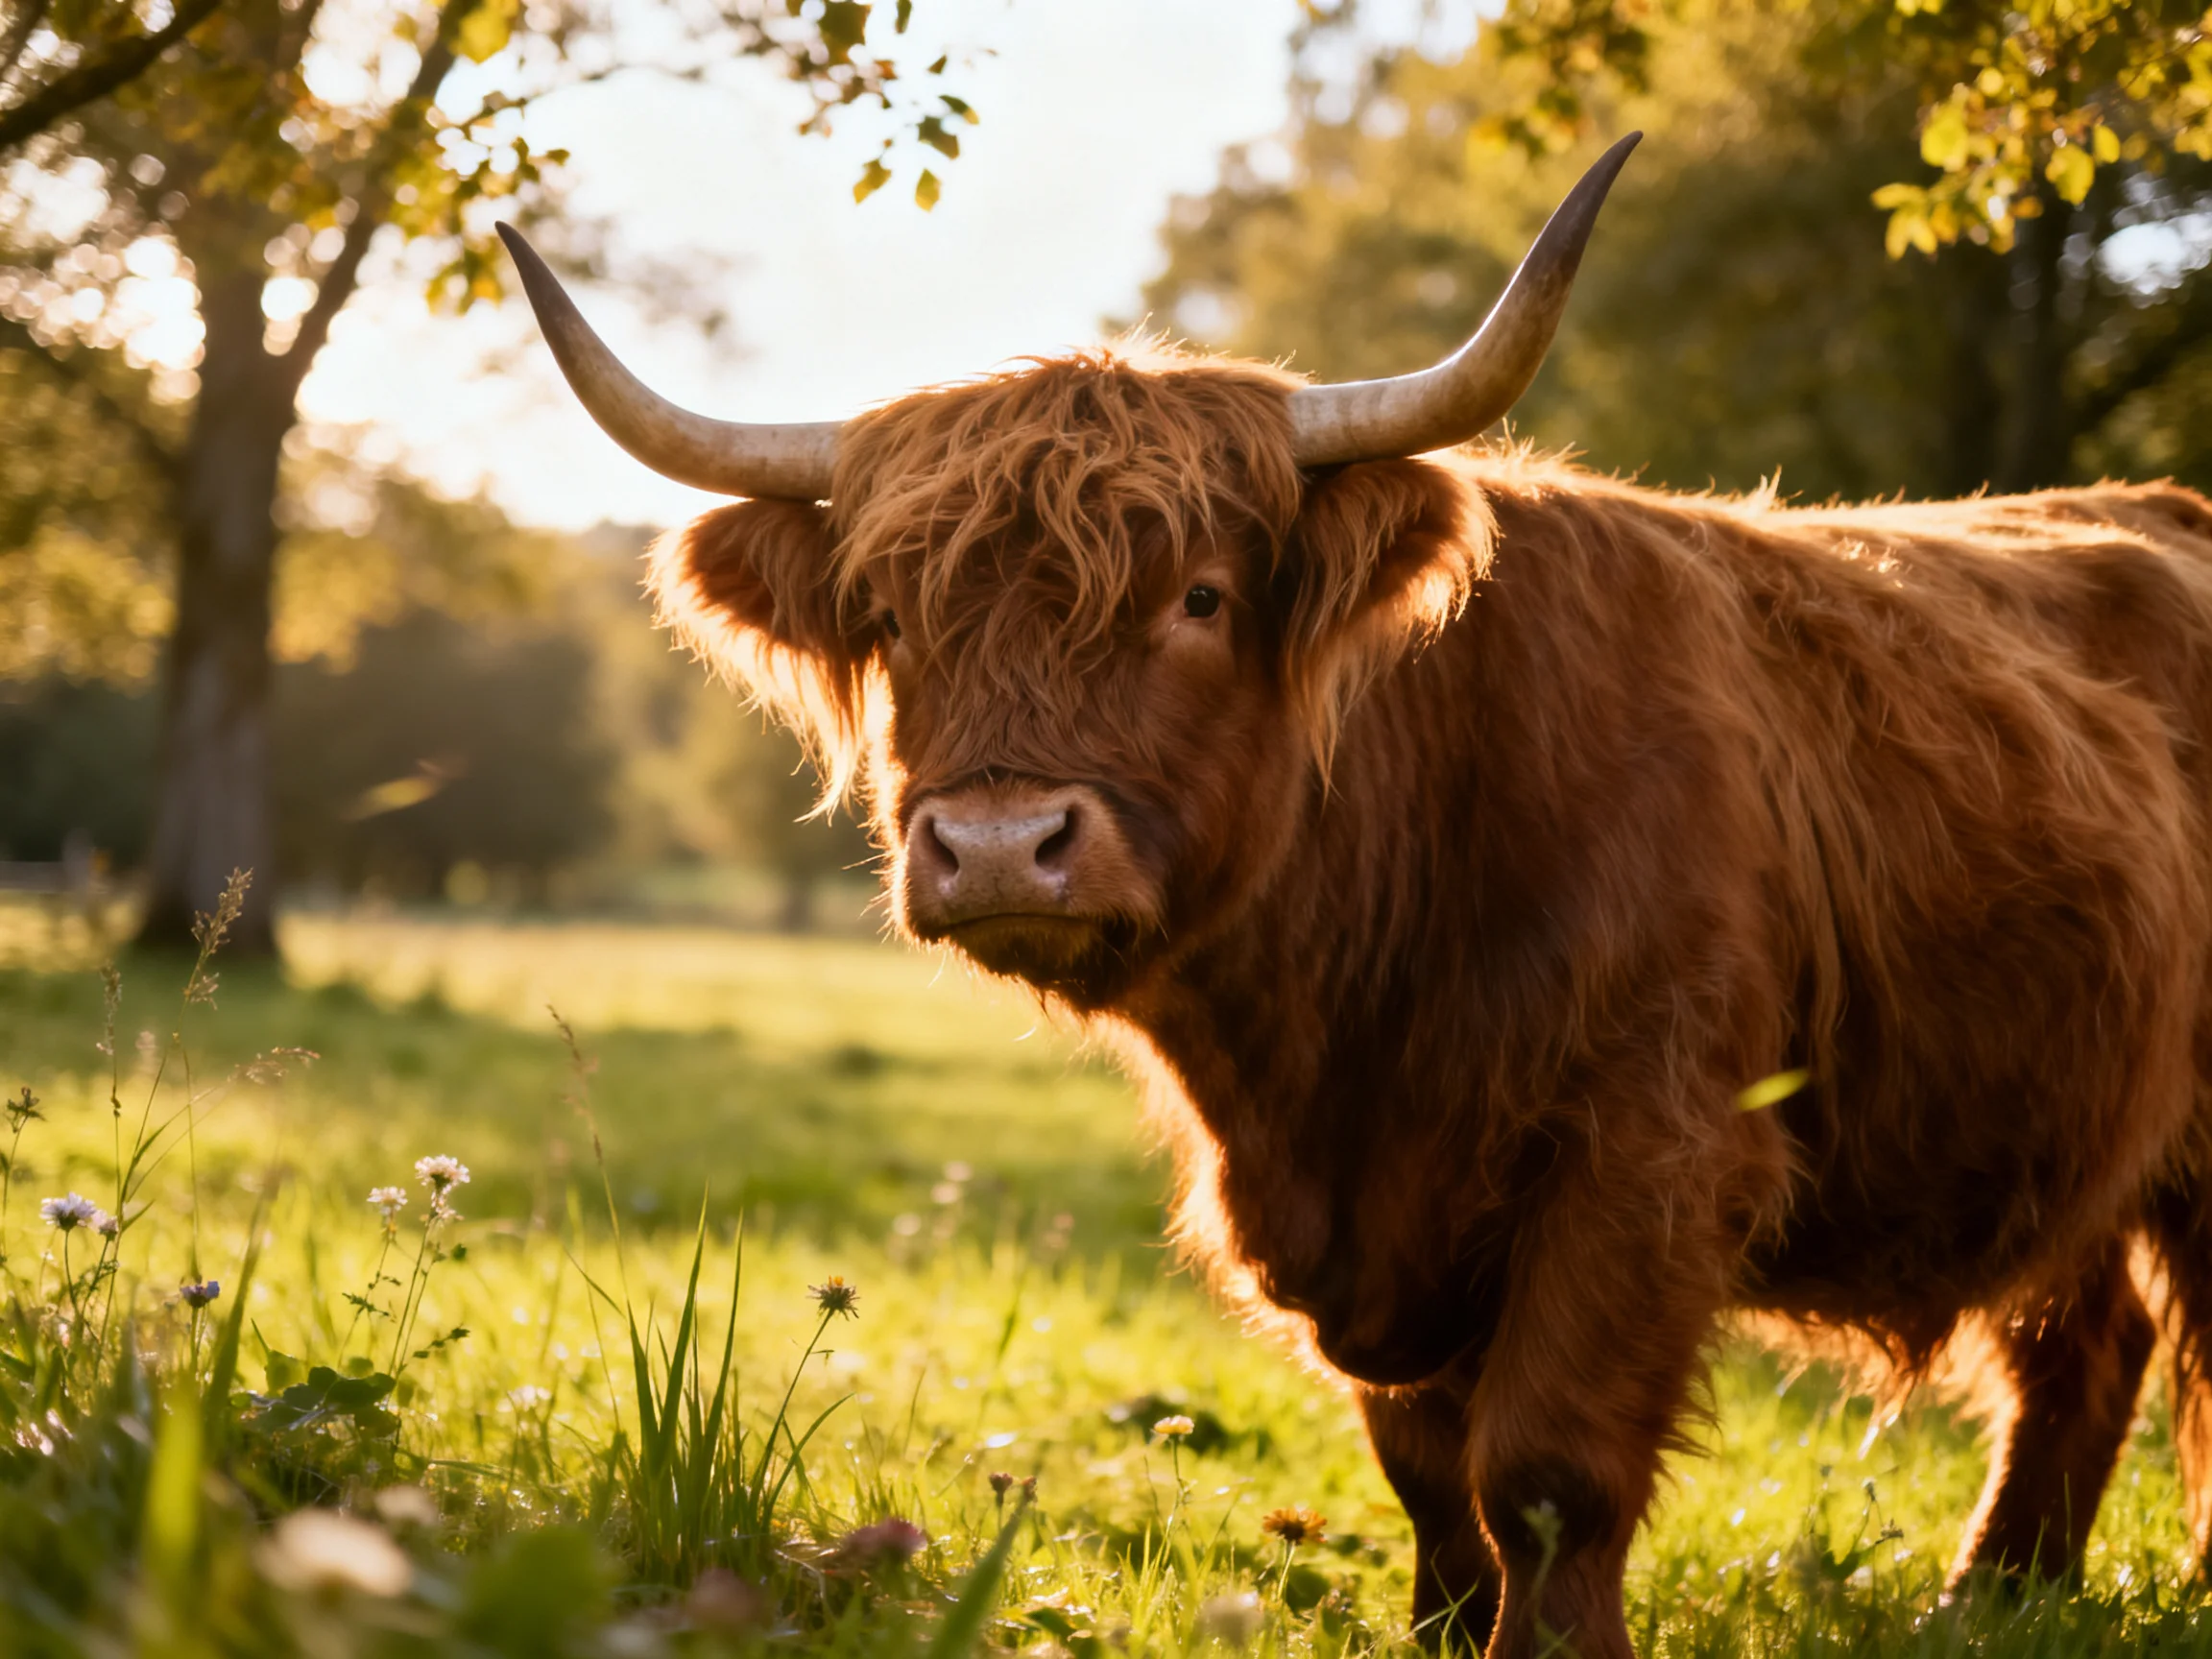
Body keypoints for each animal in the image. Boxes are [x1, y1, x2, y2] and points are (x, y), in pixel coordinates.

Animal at [496, 132, 2212, 1659]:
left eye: (1199, 597)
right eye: (898, 616)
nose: (995, 845)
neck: (1338, 1036)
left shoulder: (1648, 1148)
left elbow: (1546, 1472)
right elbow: (1428, 1470)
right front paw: (1442, 1634)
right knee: (2081, 1347)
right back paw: (1994, 1601)